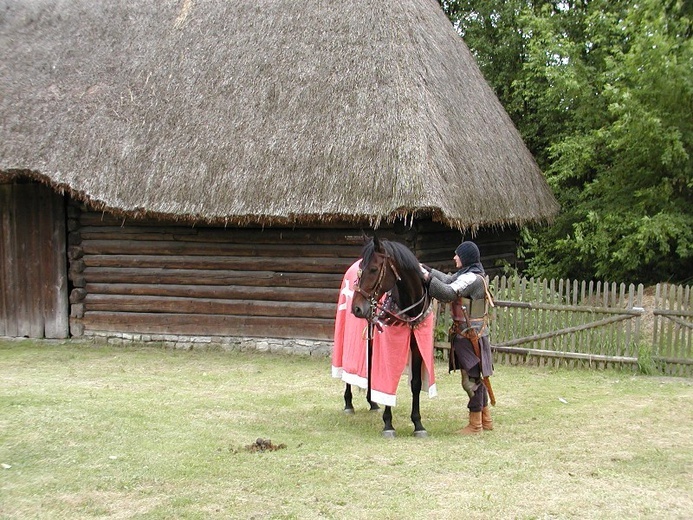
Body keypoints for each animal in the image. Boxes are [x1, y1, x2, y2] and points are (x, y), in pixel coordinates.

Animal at [352, 238, 432, 436]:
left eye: (373, 269)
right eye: (361, 268)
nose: (356, 308)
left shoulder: (417, 346)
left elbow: (416, 383)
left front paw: (418, 423)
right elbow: (389, 380)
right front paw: (388, 423)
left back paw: (372, 402)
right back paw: (348, 402)